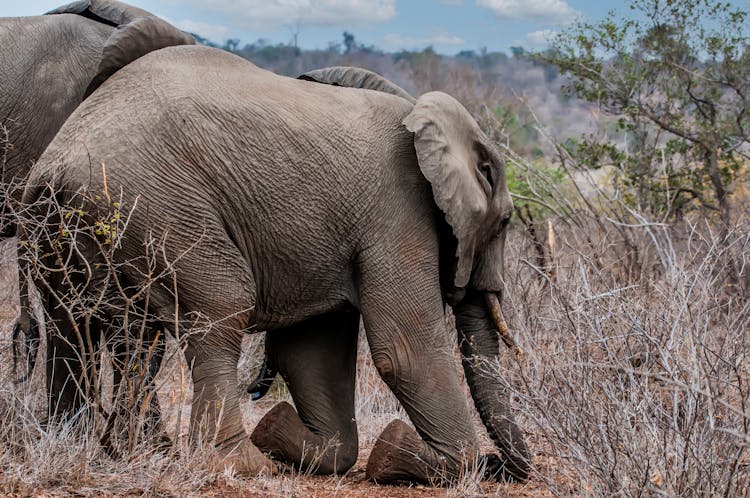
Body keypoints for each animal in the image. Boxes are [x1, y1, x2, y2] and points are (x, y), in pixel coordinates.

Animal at [17, 46, 536, 482]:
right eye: (506, 221)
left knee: (90, 328)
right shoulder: (398, 212)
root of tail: (53, 167)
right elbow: (405, 349)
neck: (421, 114)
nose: (498, 465)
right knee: (220, 307)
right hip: (157, 205)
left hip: (71, 227)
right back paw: (238, 463)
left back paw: (103, 448)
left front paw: (278, 430)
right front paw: (400, 453)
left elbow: (313, 356)